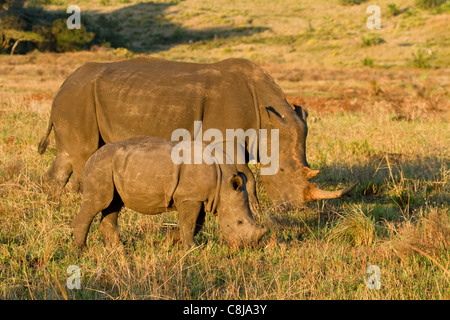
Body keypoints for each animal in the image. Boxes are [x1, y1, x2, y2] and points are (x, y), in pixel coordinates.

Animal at [37, 57, 356, 208]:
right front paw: (256, 208)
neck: (268, 117)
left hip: (76, 98)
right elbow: (246, 175)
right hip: (78, 98)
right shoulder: (228, 135)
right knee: (85, 154)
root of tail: (63, 84)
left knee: (67, 156)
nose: (296, 209)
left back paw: (53, 206)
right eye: (285, 172)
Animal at [72, 136, 266, 249]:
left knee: (113, 204)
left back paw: (121, 248)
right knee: (98, 203)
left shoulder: (198, 196)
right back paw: (82, 249)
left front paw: (169, 240)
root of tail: (92, 156)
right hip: (101, 166)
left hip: (111, 166)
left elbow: (196, 223)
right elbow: (190, 223)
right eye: (239, 222)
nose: (248, 247)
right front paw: (192, 248)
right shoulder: (189, 196)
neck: (223, 184)